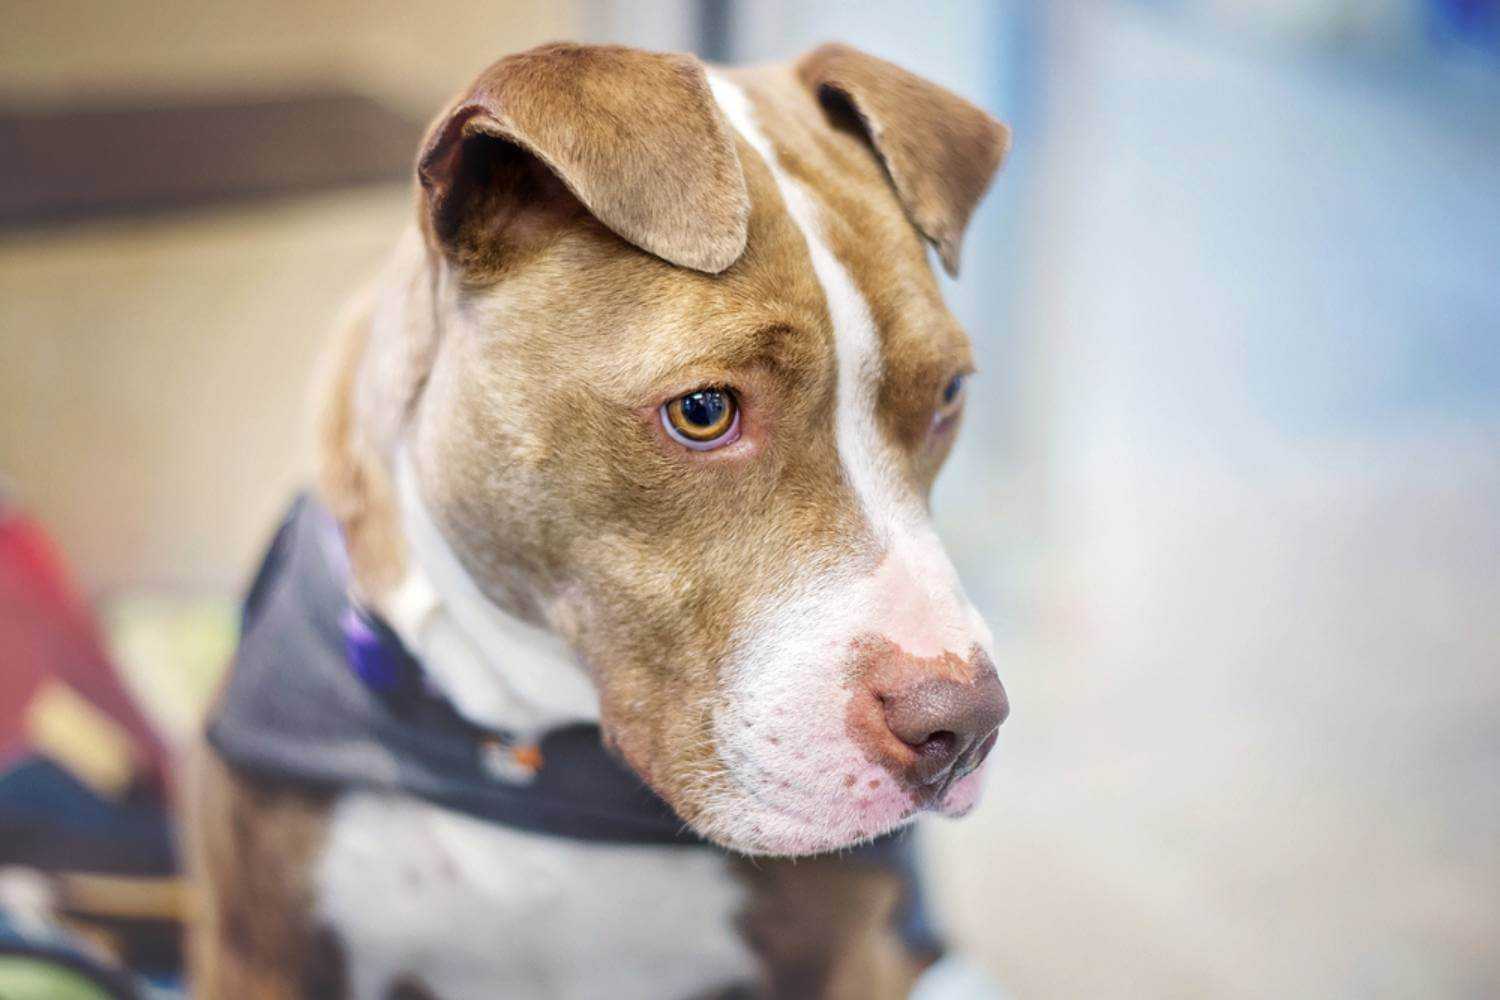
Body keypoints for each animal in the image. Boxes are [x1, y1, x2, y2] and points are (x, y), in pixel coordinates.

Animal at [184, 41, 1008, 1000]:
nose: (964, 726)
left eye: (948, 394)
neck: (530, 758)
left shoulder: (844, 961)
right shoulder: (258, 948)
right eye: (702, 411)